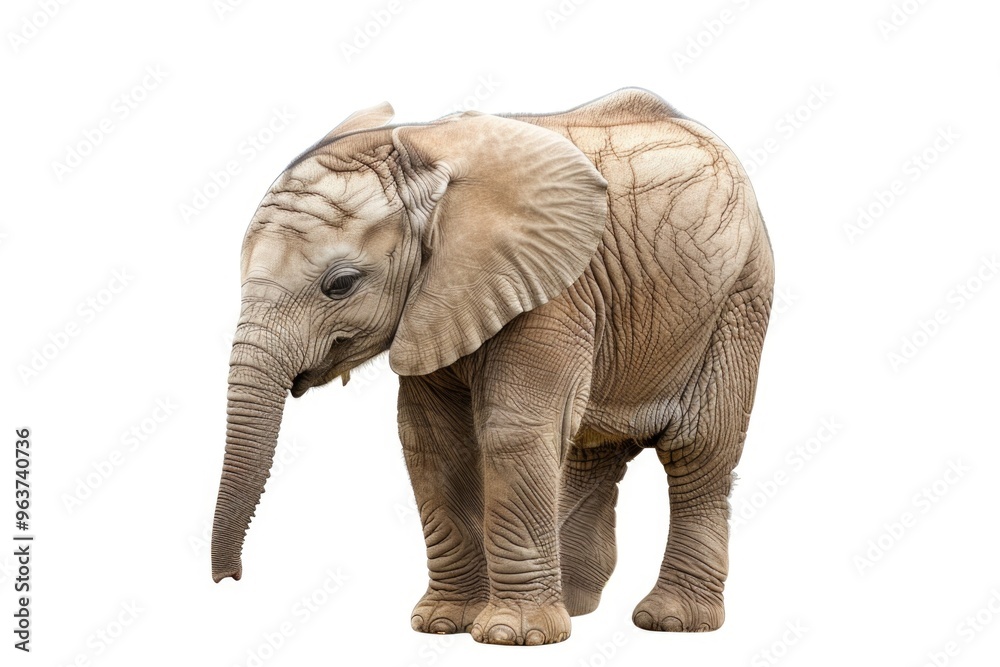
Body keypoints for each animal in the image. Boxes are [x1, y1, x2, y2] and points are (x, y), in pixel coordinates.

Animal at [211, 87, 774, 646]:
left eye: (341, 284)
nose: (230, 580)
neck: (425, 149)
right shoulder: (439, 299)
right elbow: (432, 442)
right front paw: (443, 625)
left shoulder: (551, 287)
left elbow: (512, 432)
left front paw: (513, 635)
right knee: (592, 449)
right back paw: (576, 607)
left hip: (740, 296)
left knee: (699, 452)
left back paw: (672, 621)